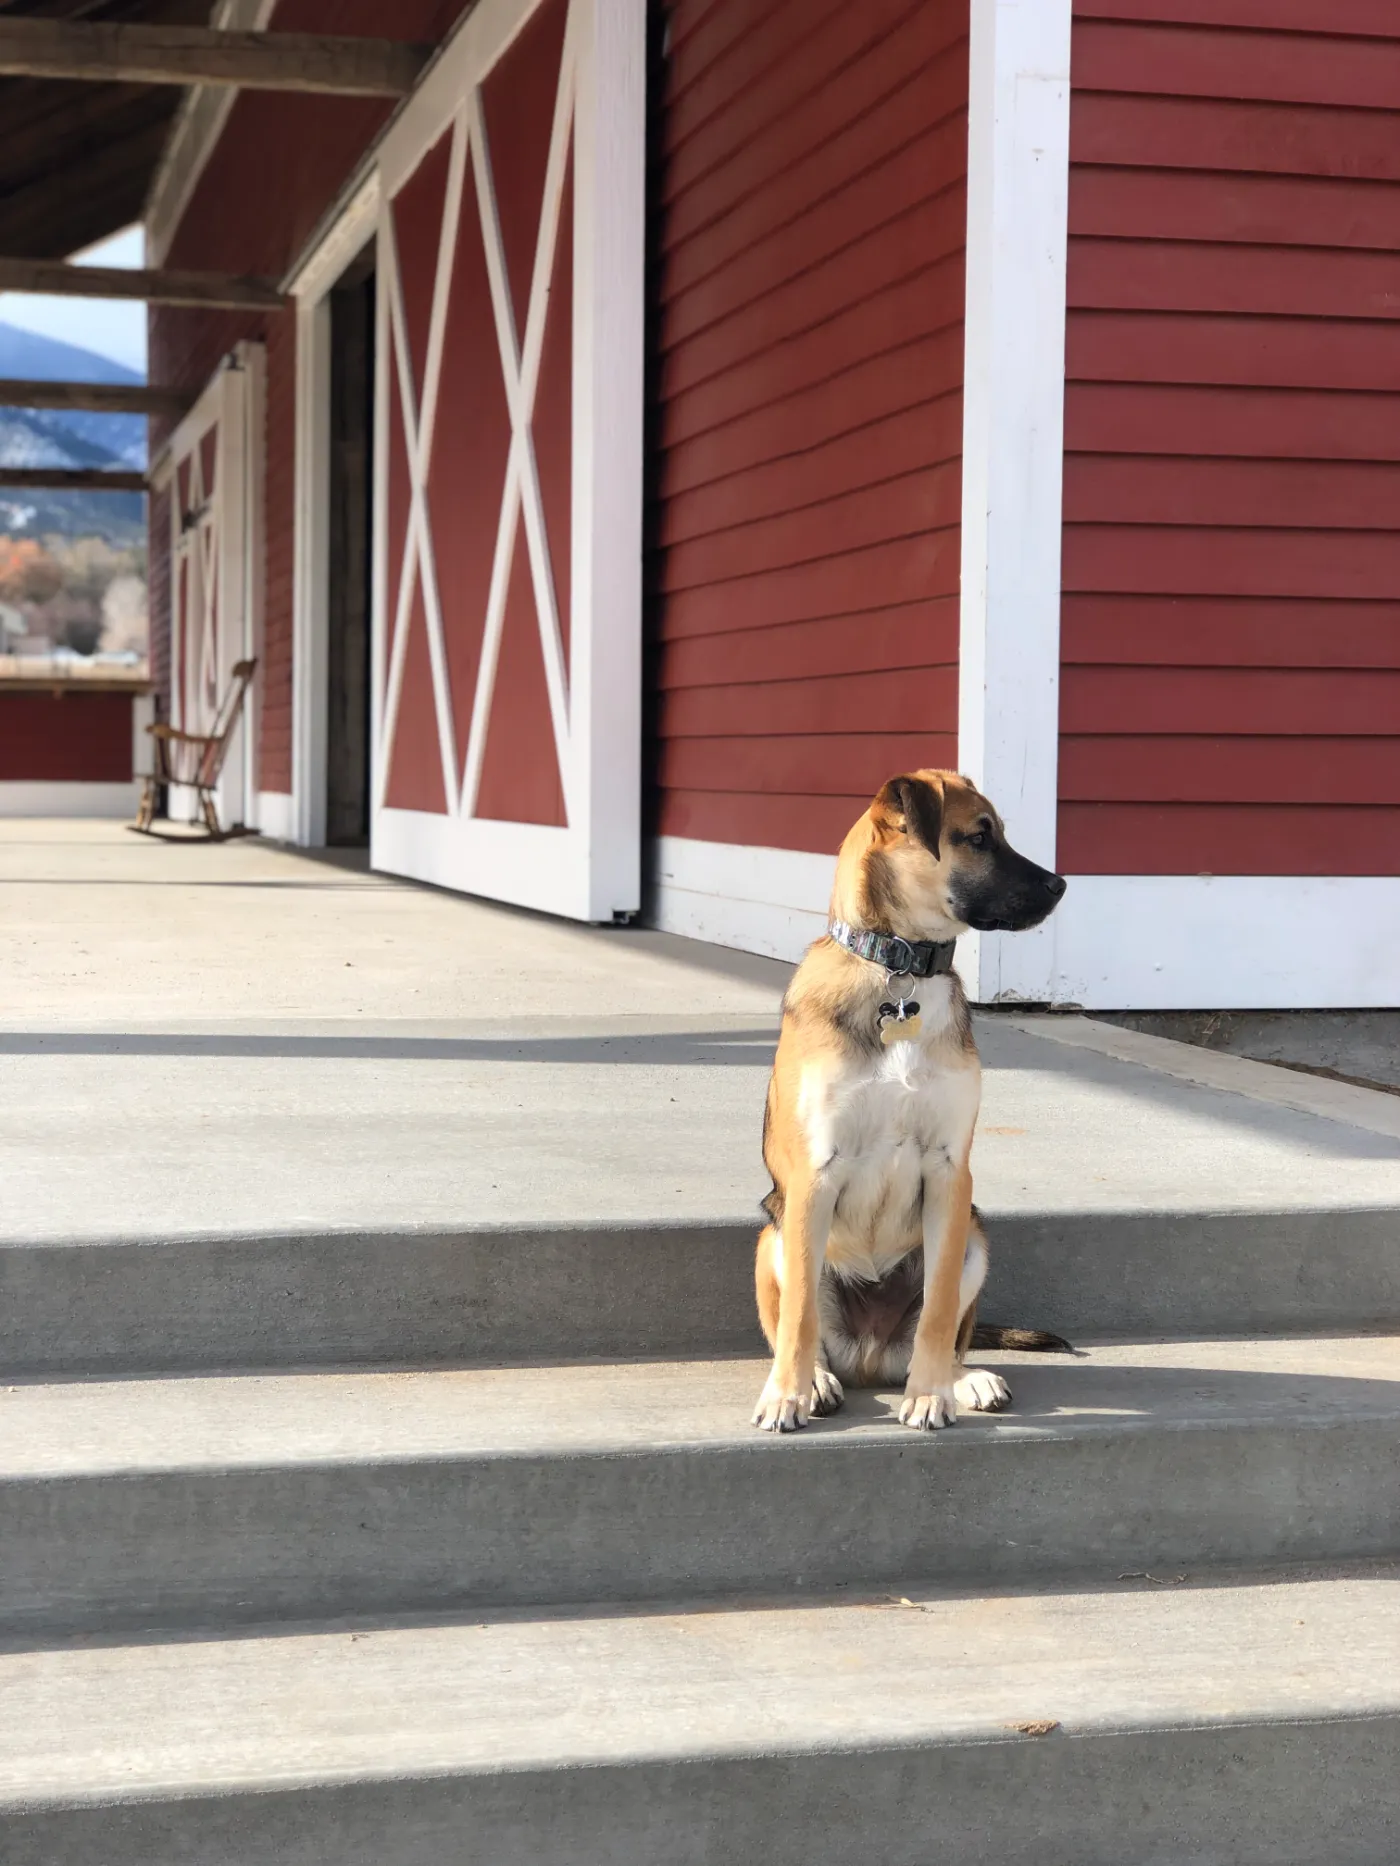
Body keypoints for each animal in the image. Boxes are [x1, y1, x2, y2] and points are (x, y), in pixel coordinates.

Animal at [757, 765, 1075, 1433]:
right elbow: (798, 1316)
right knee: (802, 1325)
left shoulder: (950, 1173)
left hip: (975, 1236)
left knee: (944, 1328)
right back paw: (816, 1379)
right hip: (772, 1237)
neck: (901, 971)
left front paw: (931, 1395)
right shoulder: (814, 1175)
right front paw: (786, 1396)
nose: (1061, 886)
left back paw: (963, 1378)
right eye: (978, 837)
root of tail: (871, 1356)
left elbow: (938, 1311)